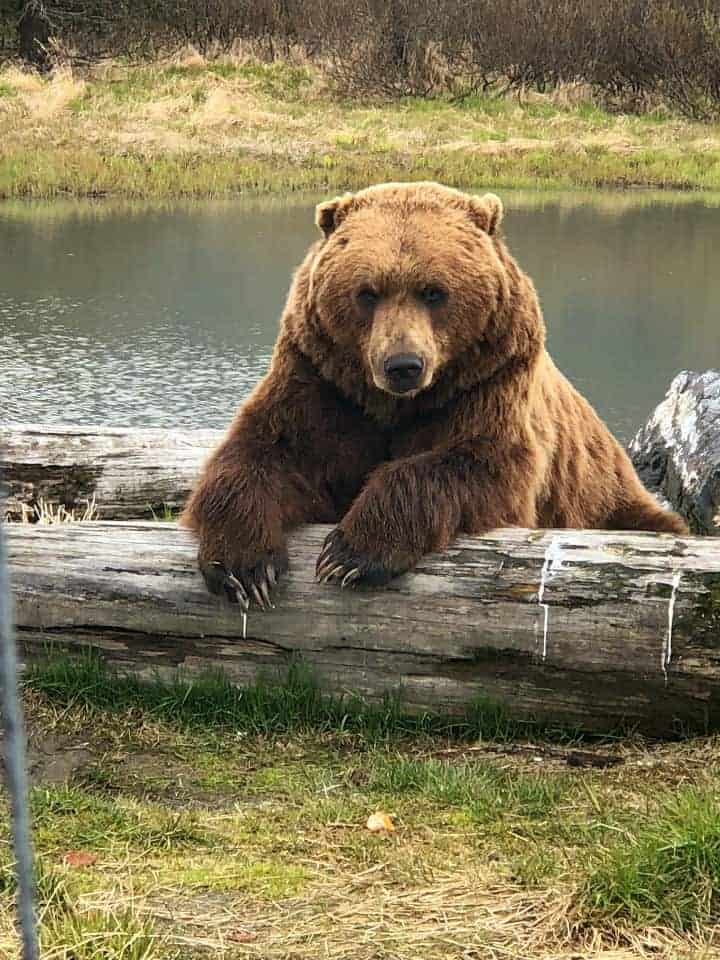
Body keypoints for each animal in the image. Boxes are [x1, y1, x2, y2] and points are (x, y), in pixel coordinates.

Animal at [180, 182, 688, 608]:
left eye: (434, 291)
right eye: (367, 292)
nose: (403, 365)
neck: (392, 404)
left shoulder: (486, 383)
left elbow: (475, 463)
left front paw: (350, 554)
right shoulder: (321, 382)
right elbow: (262, 452)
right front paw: (244, 568)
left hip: (610, 503)